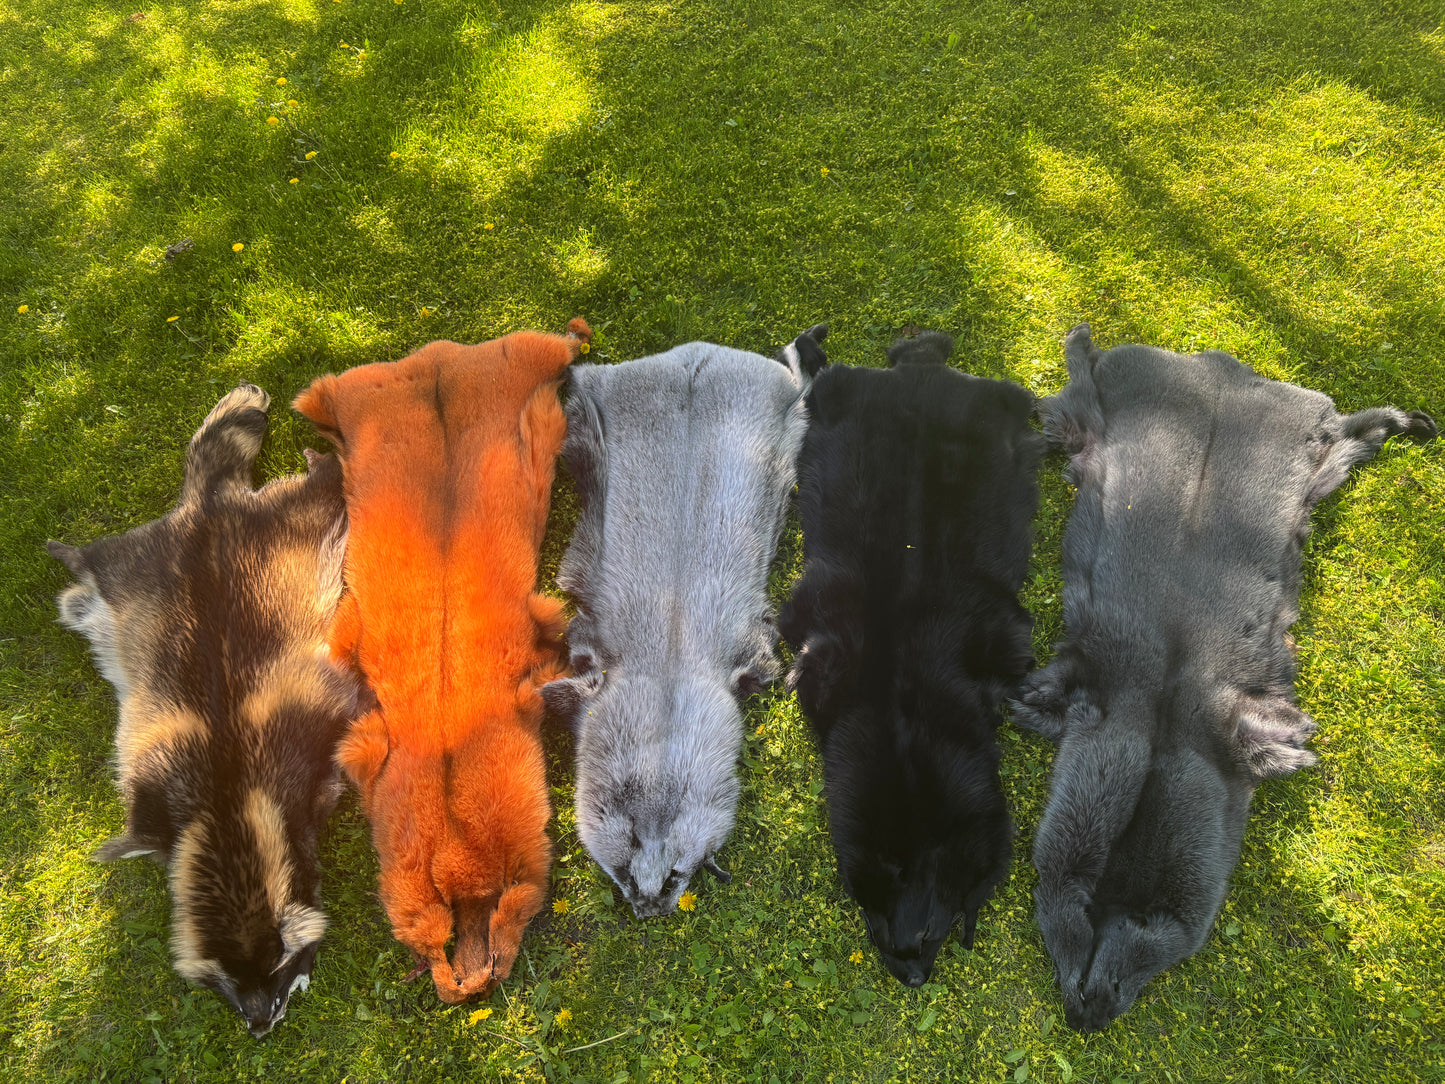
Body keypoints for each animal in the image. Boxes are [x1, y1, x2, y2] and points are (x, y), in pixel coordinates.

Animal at [47, 383, 359, 1037]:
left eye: (279, 966)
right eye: (228, 981)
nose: (260, 1025)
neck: (229, 800)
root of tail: (205, 508)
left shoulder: (311, 726)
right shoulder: (161, 778)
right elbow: (142, 824)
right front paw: (130, 845)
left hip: (291, 525)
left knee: (323, 493)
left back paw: (325, 463)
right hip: (142, 565)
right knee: (99, 565)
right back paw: (74, 563)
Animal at [542, 326, 827, 917]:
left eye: (679, 871)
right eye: (629, 852)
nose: (650, 906)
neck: (670, 667)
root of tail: (701, 355)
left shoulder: (750, 653)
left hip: (786, 406)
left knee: (797, 377)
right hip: (602, 400)